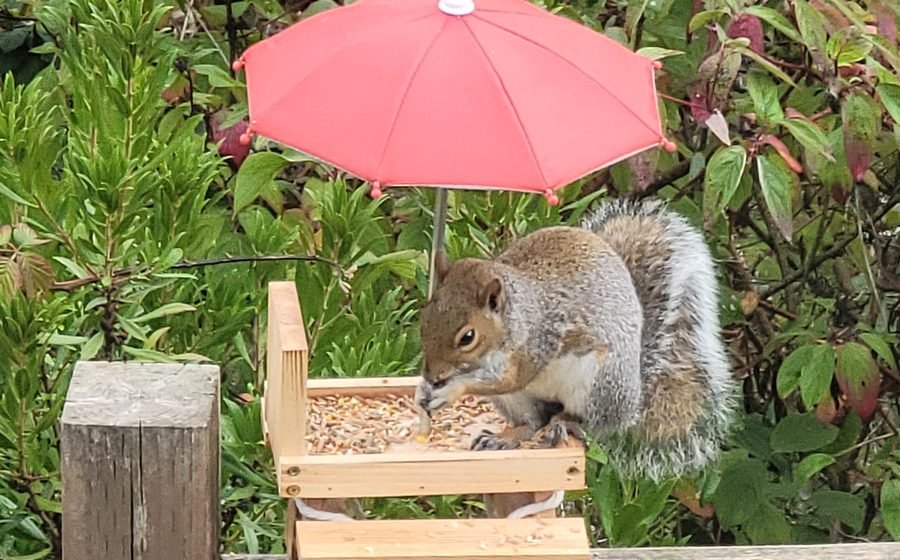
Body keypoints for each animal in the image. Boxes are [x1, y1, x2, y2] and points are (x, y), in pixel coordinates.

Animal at [415, 198, 735, 480]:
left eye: (467, 337)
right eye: (424, 317)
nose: (431, 375)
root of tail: (632, 403)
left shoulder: (538, 342)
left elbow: (509, 378)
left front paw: (449, 391)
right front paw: (424, 391)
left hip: (597, 384)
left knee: (588, 423)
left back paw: (563, 425)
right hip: (517, 402)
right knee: (534, 422)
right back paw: (506, 437)